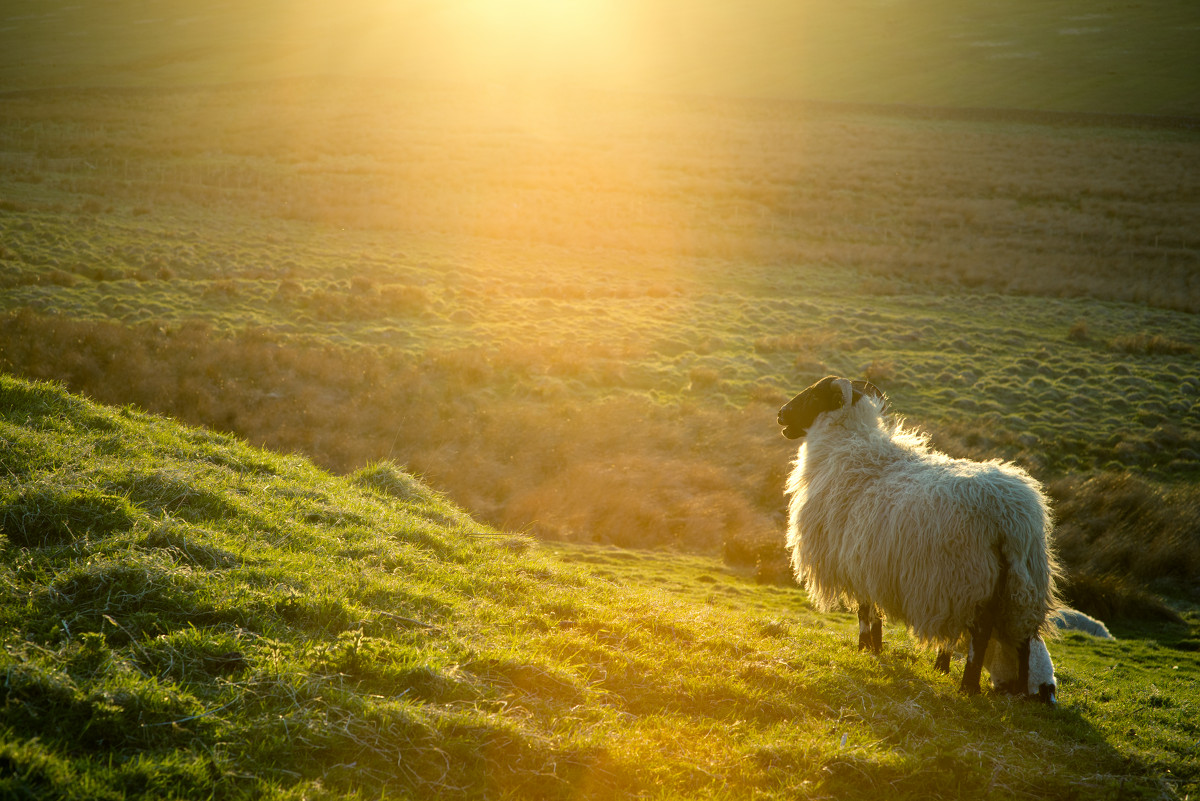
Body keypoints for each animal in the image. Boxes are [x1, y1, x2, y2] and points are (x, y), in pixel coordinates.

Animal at [782, 376, 1065, 700]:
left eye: (814, 394)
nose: (781, 414)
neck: (847, 446)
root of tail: (1012, 516)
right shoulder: (871, 561)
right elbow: (874, 611)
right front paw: (877, 649)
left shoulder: (855, 557)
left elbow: (865, 610)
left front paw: (864, 648)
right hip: (1020, 584)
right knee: (1023, 637)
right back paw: (1015, 691)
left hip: (969, 577)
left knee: (981, 632)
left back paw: (969, 686)